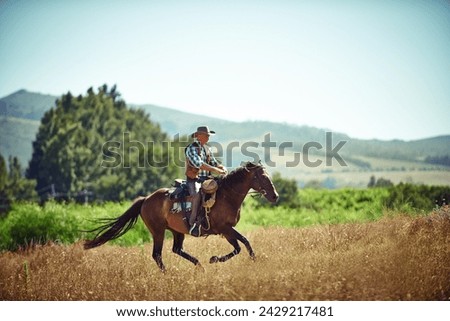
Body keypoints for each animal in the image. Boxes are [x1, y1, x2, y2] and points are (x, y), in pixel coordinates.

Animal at [84, 161, 278, 272]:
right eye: (262, 177)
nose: (275, 196)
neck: (226, 196)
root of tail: (146, 199)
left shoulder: (228, 229)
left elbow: (243, 243)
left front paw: (253, 261)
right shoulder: (225, 228)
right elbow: (240, 245)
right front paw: (215, 259)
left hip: (177, 231)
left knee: (177, 249)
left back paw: (199, 266)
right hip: (158, 231)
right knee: (157, 255)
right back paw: (169, 274)